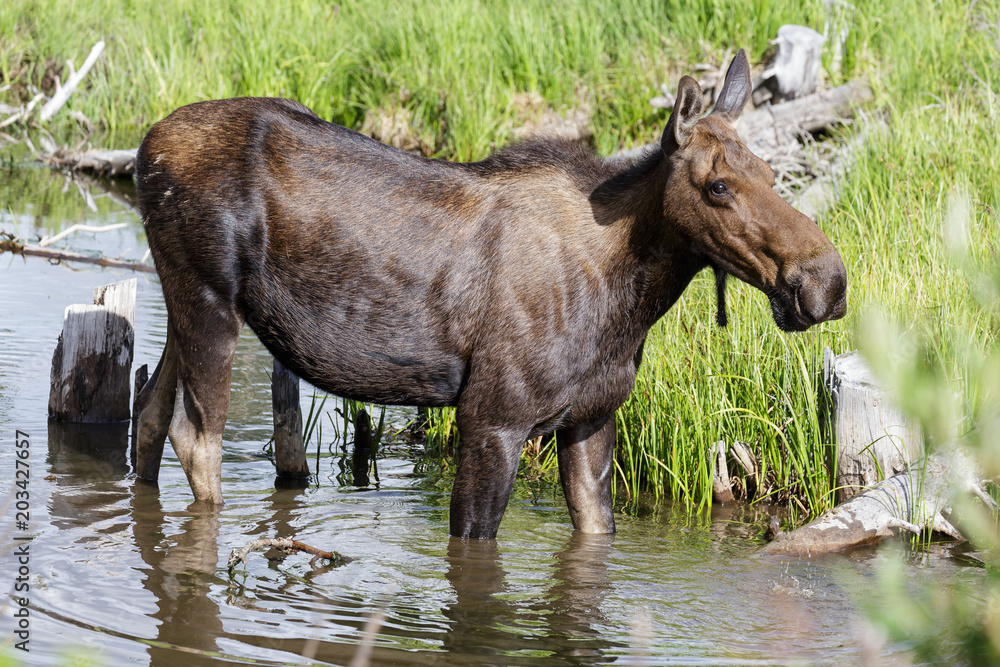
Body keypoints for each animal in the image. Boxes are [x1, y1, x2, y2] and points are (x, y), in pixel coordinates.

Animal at [133, 50, 846, 539]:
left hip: (180, 301)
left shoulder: (591, 420)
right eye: (718, 187)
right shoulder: (493, 418)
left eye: (772, 172)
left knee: (148, 412)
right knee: (195, 437)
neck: (631, 301)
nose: (827, 281)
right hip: (209, 300)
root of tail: (144, 148)